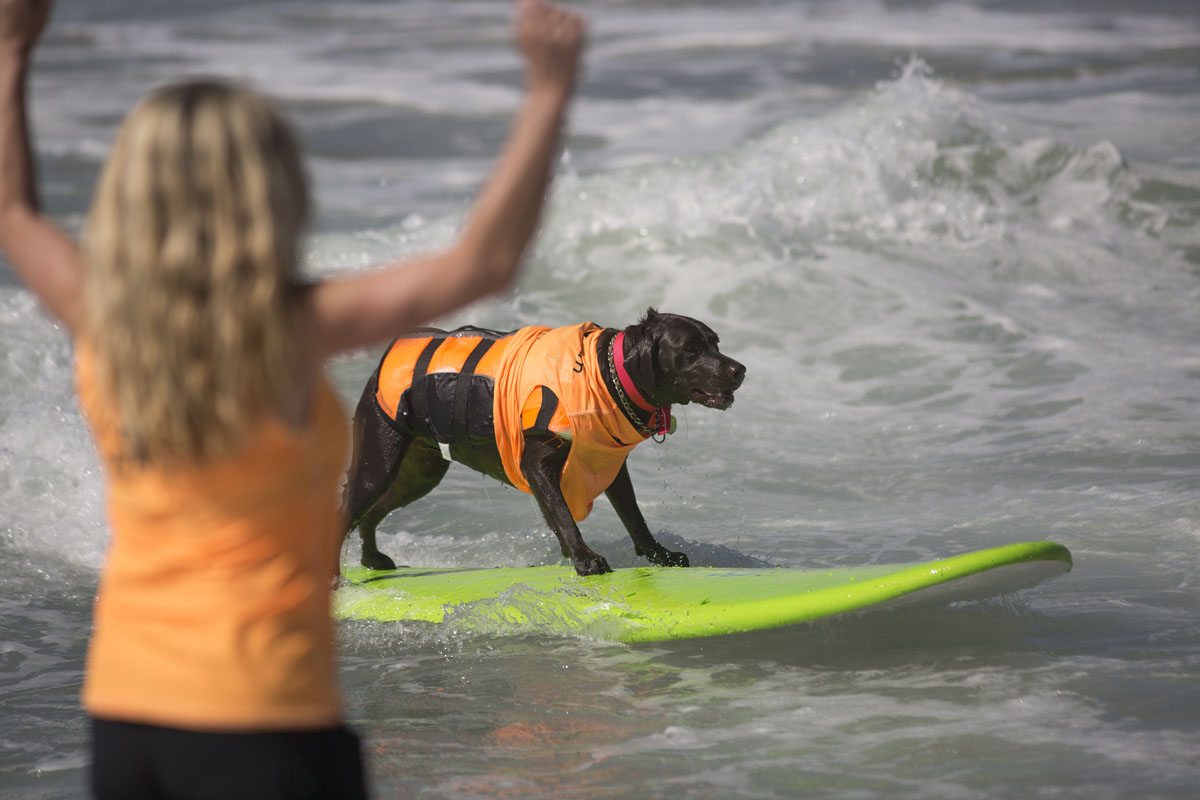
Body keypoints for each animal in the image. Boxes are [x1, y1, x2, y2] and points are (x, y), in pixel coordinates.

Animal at [338, 307, 744, 575]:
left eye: (715, 342)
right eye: (690, 350)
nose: (740, 369)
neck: (602, 373)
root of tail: (378, 367)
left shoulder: (611, 469)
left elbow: (634, 519)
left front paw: (660, 555)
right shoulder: (537, 464)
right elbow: (563, 515)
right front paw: (584, 558)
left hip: (419, 473)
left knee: (372, 512)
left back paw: (372, 560)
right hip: (379, 462)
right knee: (348, 510)